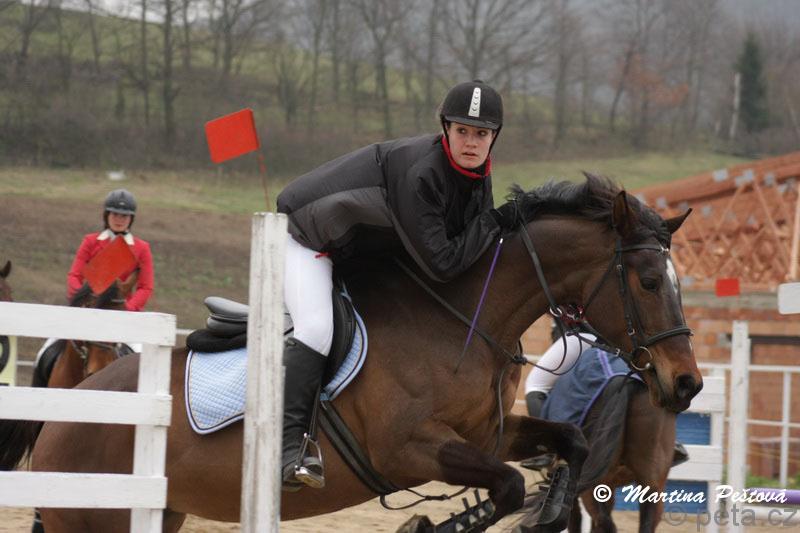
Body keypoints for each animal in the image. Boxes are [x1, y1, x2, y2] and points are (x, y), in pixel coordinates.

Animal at [27, 175, 703, 533]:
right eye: (649, 281)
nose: (687, 385)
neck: (464, 318)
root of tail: (62, 414)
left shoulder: (488, 434)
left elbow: (572, 443)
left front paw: (553, 507)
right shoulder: (407, 448)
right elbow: (509, 485)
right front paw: (430, 524)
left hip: (158, 511)